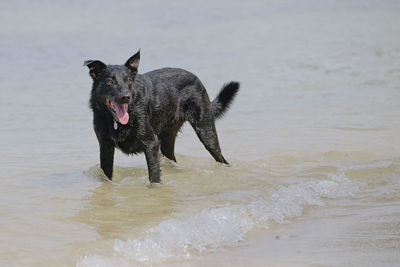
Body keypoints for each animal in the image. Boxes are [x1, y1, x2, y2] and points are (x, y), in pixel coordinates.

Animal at [84, 50, 238, 183]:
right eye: (110, 82)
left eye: (129, 82)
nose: (126, 97)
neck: (115, 121)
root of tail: (196, 78)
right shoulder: (105, 146)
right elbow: (106, 176)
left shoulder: (151, 144)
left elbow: (154, 177)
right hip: (167, 139)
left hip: (206, 133)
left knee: (221, 157)